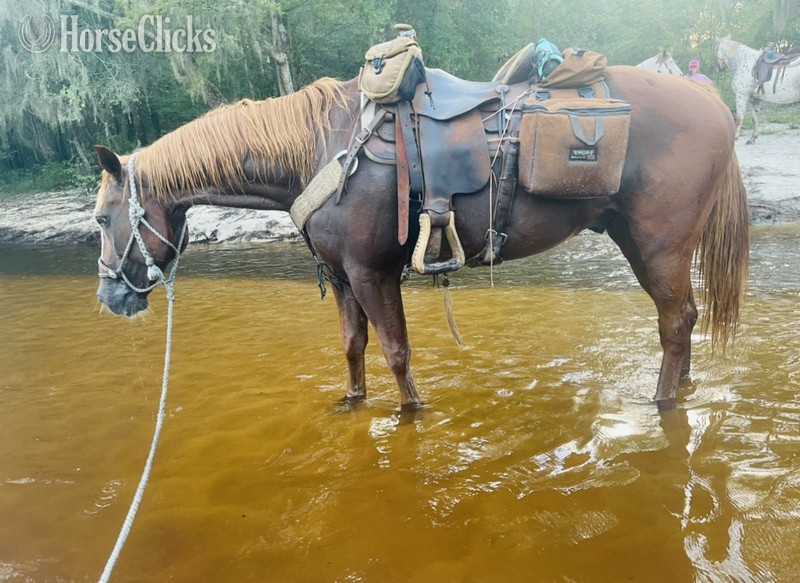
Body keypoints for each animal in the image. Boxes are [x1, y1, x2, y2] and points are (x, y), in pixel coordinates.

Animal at [93, 64, 749, 411]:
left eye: (101, 219)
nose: (110, 297)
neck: (321, 150)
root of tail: (712, 102)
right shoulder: (343, 278)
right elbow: (353, 349)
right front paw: (353, 404)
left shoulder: (372, 272)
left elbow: (396, 352)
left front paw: (410, 414)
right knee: (683, 320)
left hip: (658, 246)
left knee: (675, 322)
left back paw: (662, 402)